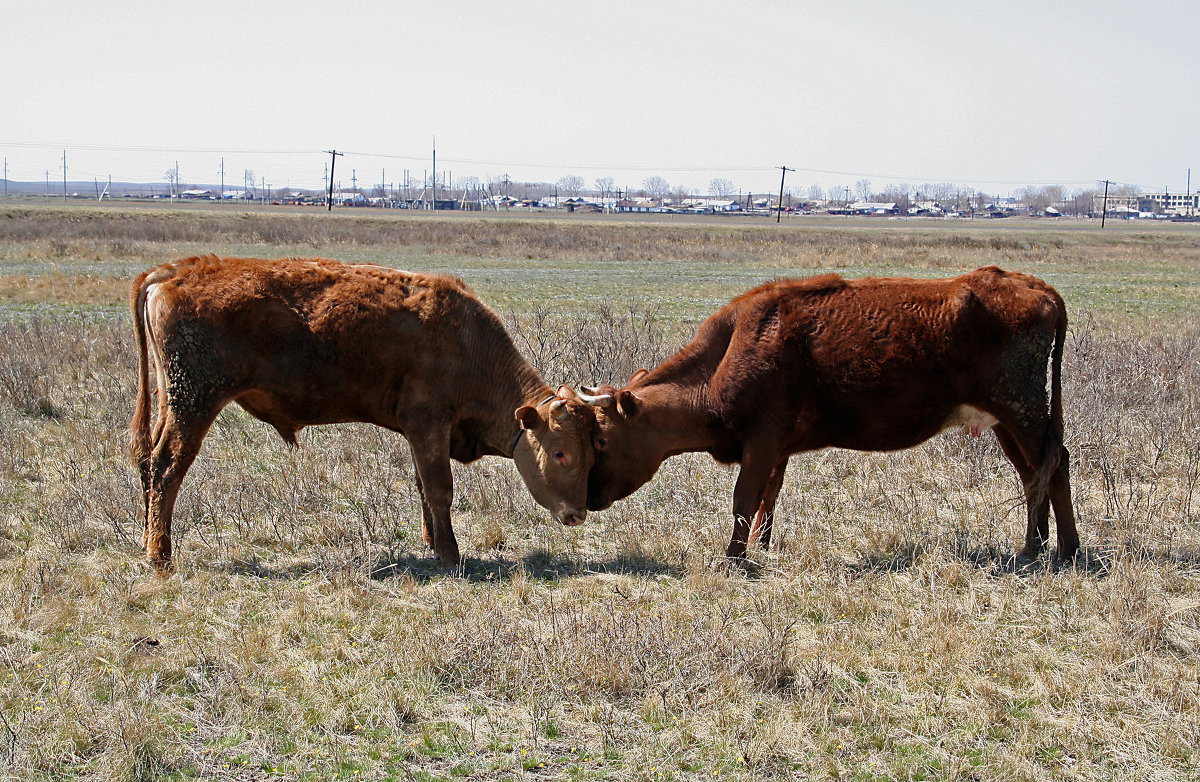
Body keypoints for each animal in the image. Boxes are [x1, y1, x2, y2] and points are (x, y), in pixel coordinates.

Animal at [129, 259, 597, 570]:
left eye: (593, 451)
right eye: (561, 454)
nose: (578, 513)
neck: (467, 344)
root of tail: (170, 271)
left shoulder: (419, 434)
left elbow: (423, 486)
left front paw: (431, 543)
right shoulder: (428, 424)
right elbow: (440, 488)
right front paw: (450, 554)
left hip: (171, 401)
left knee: (148, 463)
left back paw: (149, 543)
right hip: (195, 404)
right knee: (167, 466)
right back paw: (161, 556)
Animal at [585, 268, 1084, 561]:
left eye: (603, 439)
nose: (587, 497)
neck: (733, 350)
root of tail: (1033, 284)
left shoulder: (762, 439)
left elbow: (745, 498)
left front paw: (733, 558)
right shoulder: (777, 447)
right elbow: (769, 497)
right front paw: (762, 549)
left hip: (1024, 410)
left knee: (1055, 467)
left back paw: (1065, 550)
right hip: (1008, 421)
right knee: (1033, 473)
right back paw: (1037, 546)